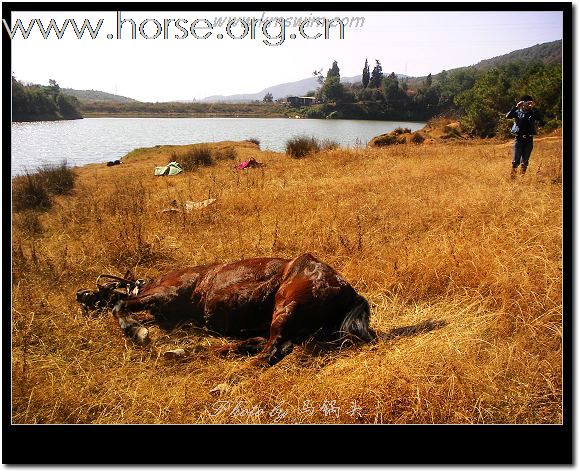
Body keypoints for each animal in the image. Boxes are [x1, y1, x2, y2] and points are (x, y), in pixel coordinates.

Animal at [77, 254, 446, 366]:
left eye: (101, 287)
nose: (81, 294)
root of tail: (348, 290)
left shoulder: (164, 295)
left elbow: (121, 306)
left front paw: (135, 329)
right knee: (261, 343)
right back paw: (189, 352)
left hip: (286, 306)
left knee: (273, 349)